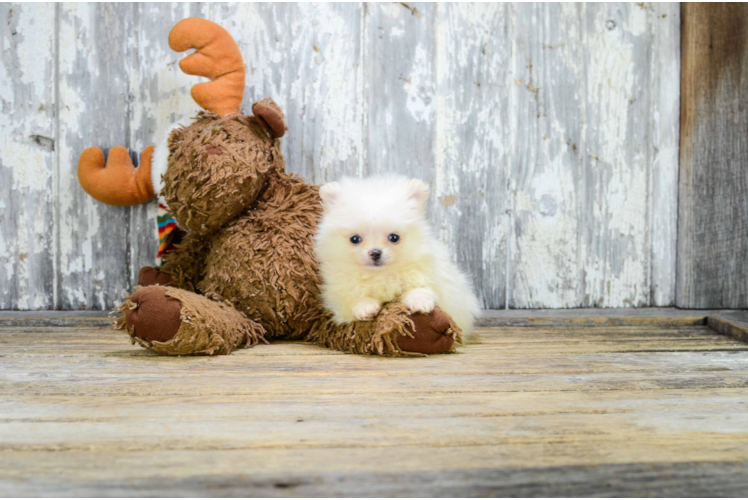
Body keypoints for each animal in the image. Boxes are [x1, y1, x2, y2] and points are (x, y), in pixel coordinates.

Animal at [314, 176, 480, 336]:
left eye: (394, 237)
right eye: (355, 239)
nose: (375, 252)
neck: (380, 275)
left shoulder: (427, 273)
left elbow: (420, 287)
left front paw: (419, 301)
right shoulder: (339, 292)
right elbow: (355, 298)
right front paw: (365, 307)